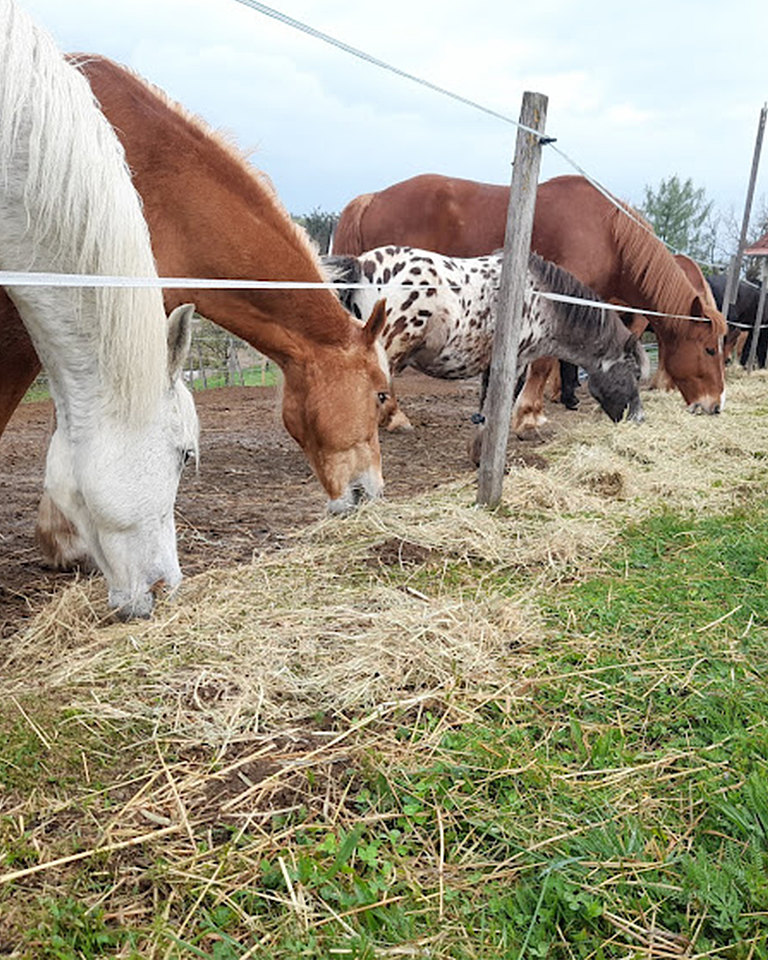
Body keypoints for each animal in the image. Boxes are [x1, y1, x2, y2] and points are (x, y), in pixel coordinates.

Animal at [324, 246, 648, 436]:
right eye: (633, 373)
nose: (638, 418)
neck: (540, 298)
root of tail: (361, 264)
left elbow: (485, 402)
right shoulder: (515, 362)